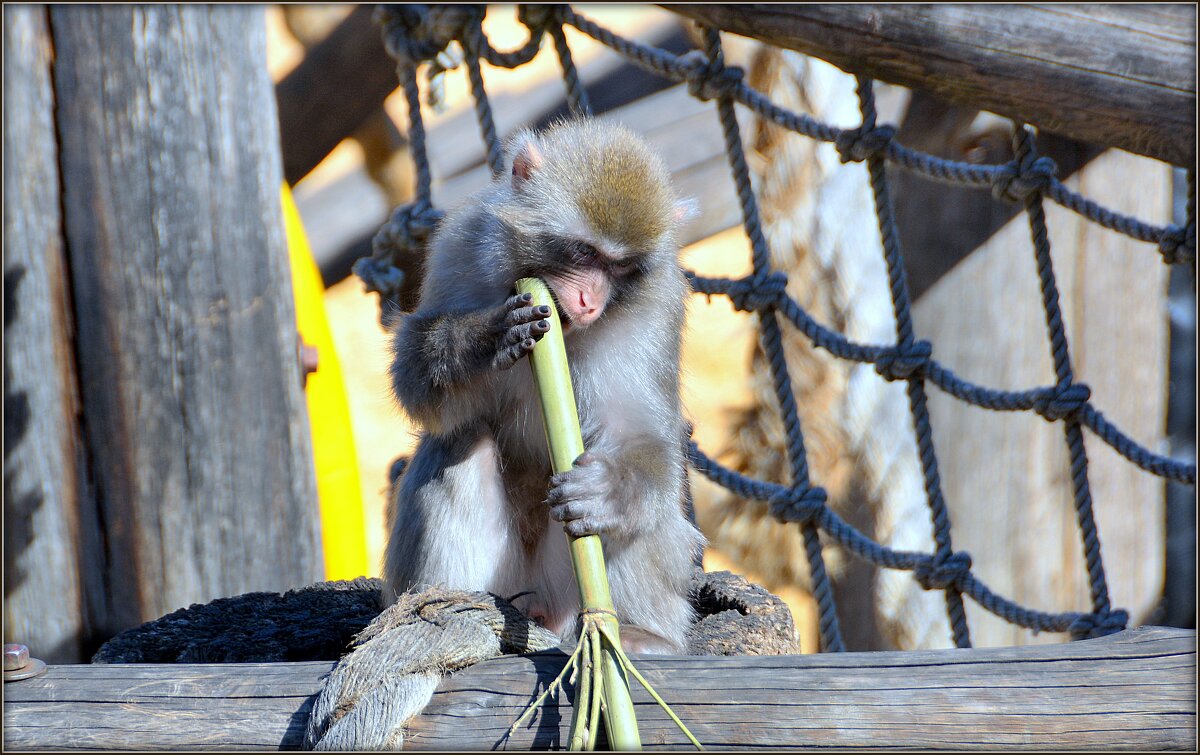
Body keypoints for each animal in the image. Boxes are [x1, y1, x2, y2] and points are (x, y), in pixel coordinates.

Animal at [384, 117, 700, 652]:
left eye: (619, 267)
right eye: (583, 251)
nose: (590, 301)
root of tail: (543, 612)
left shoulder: (657, 305)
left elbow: (642, 433)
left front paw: (607, 490)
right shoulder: (463, 246)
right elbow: (419, 386)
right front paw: (482, 341)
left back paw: (642, 634)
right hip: (508, 585)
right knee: (459, 443)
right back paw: (442, 609)